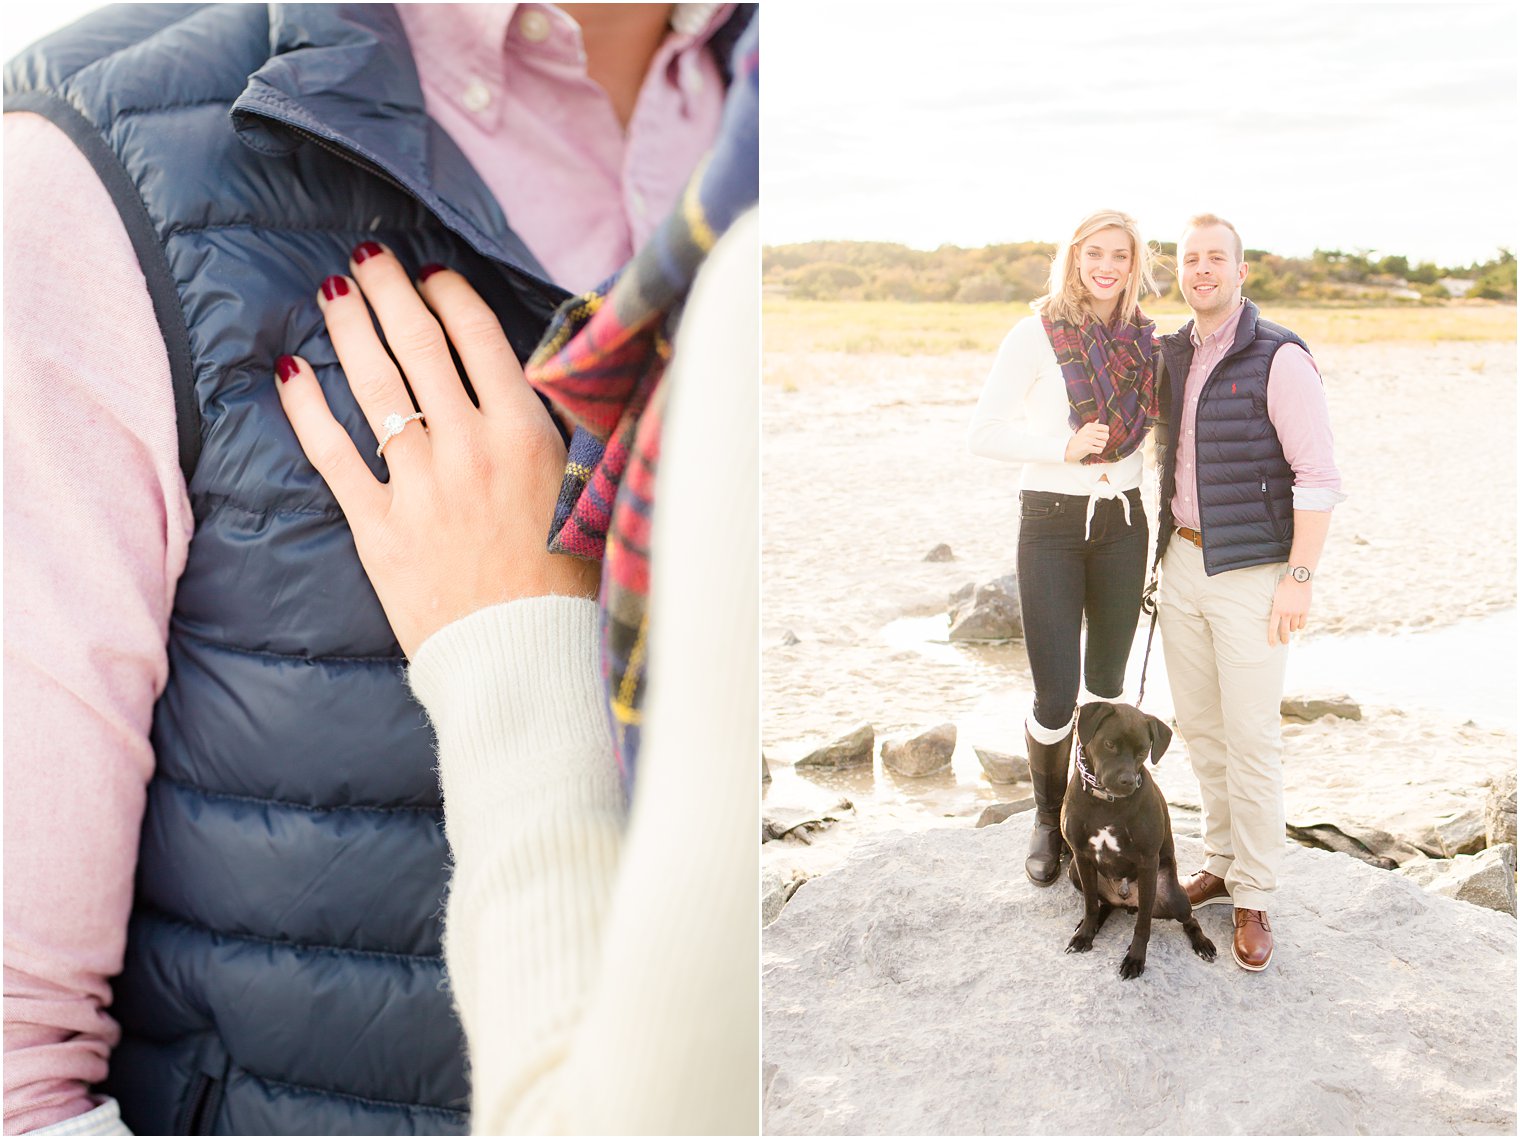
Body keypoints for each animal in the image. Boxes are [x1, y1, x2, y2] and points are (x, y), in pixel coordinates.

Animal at [1057, 702, 1209, 979]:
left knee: (1189, 920)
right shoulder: (1081, 856)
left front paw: (1135, 958)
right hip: (1074, 870)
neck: (1106, 803)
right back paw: (1094, 922)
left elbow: (1143, 924)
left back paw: (1202, 944)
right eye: (1109, 744)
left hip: (1176, 897)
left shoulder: (1147, 862)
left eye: (1143, 751)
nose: (1127, 781)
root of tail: (1125, 900)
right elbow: (1090, 905)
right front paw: (1085, 935)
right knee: (1104, 903)